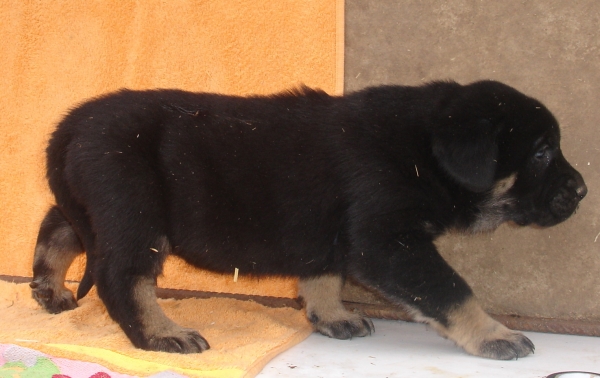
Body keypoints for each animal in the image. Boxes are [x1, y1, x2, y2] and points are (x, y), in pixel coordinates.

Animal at [29, 80, 584, 360]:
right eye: (542, 153)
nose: (581, 190)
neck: (420, 148)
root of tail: (69, 126)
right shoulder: (388, 242)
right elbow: (451, 290)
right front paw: (494, 334)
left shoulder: (330, 233)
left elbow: (322, 276)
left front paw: (332, 317)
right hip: (134, 210)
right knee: (121, 277)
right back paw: (160, 335)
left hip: (98, 205)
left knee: (59, 224)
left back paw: (48, 285)